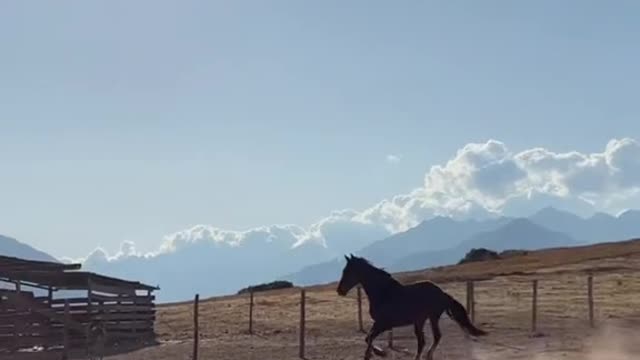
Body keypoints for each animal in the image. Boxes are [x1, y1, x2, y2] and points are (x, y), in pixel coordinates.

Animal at [338, 253, 488, 360]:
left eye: (348, 271)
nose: (340, 291)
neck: (383, 292)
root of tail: (442, 293)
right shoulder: (381, 324)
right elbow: (367, 338)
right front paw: (374, 353)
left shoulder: (383, 324)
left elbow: (369, 338)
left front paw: (378, 353)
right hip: (421, 320)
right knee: (424, 340)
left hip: (431, 317)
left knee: (433, 337)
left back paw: (427, 356)